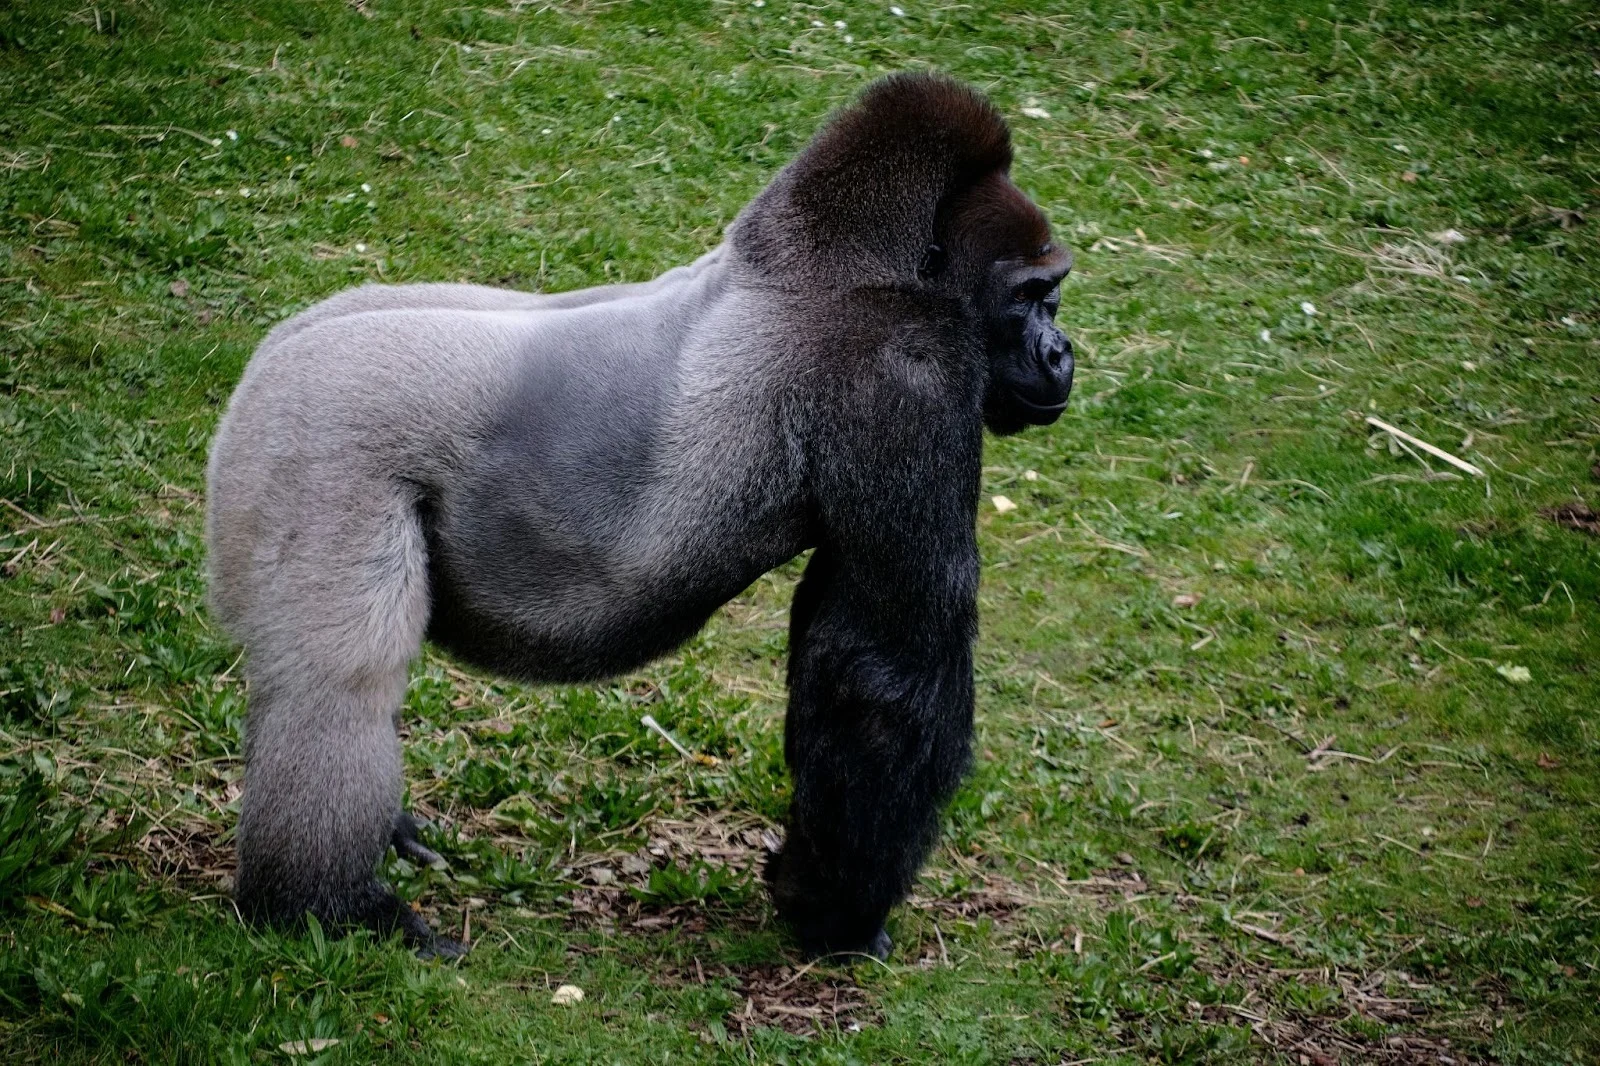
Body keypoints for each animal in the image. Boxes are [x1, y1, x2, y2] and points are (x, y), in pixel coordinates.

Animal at [205, 71, 1075, 961]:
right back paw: (324, 907)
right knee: (339, 684)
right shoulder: (909, 374)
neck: (847, 269)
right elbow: (886, 674)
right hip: (313, 445)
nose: (1060, 355)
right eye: (1033, 296)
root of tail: (266, 363)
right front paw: (837, 913)